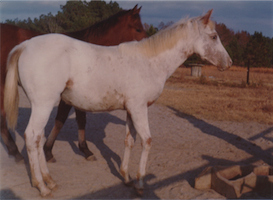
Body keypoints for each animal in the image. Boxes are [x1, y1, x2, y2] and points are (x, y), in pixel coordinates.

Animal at [0, 4, 147, 163]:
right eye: (138, 29)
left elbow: (79, 120)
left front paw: (84, 149)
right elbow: (61, 120)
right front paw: (49, 150)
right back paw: (15, 152)